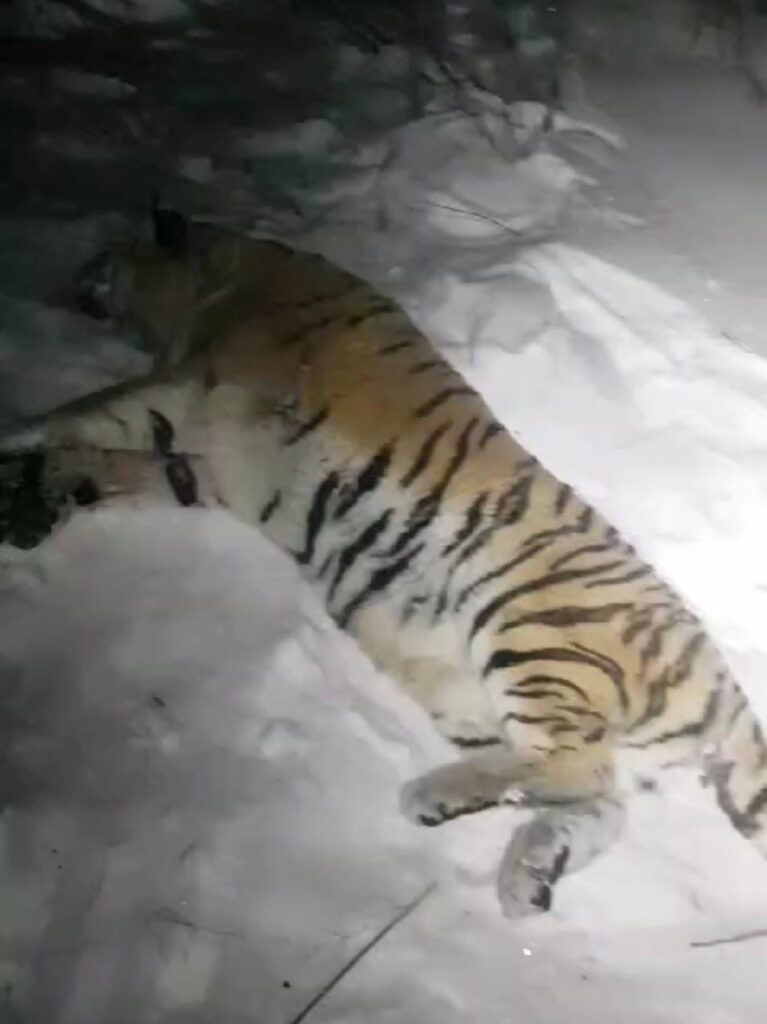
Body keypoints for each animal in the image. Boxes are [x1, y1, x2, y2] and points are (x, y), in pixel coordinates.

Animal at [2, 203, 766, 919]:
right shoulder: (201, 468)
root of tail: (720, 679)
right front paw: (40, 496)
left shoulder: (177, 392)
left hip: (531, 631)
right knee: (600, 802)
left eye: (110, 253)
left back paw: (432, 797)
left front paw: (19, 446)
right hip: (481, 704)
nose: (69, 279)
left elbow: (78, 414)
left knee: (576, 767)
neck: (225, 277)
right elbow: (106, 465)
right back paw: (527, 873)